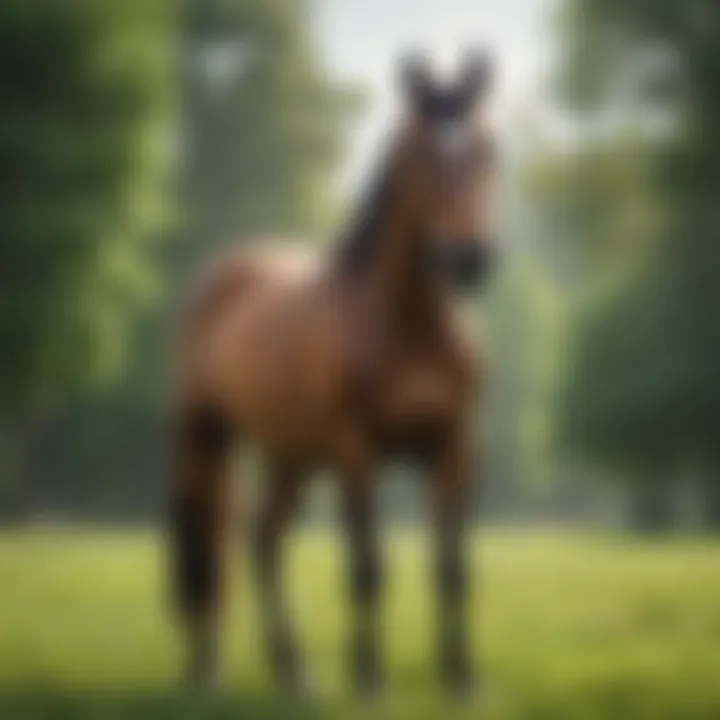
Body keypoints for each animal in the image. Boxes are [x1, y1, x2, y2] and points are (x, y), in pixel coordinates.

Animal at [170, 47, 496, 696]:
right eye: (420, 155)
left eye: (486, 147)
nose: (468, 260)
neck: (408, 325)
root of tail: (222, 274)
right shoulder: (356, 451)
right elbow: (366, 567)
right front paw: (368, 679)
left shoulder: (454, 448)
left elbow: (452, 568)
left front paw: (460, 680)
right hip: (204, 437)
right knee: (204, 546)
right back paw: (204, 671)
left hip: (291, 456)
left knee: (262, 539)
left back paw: (294, 672)